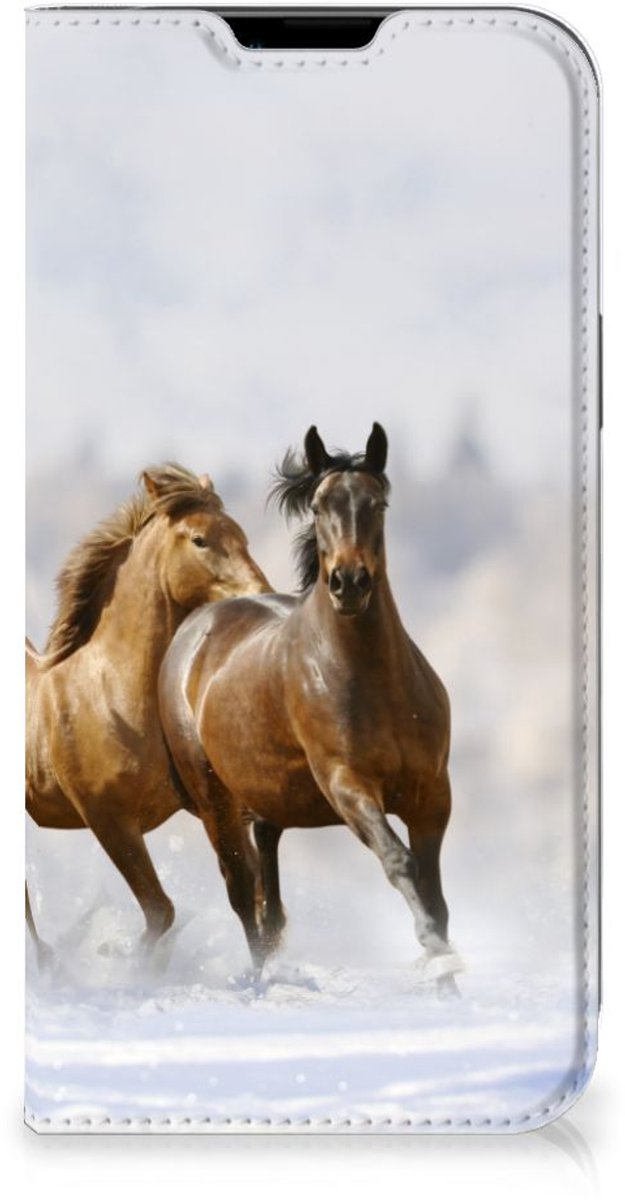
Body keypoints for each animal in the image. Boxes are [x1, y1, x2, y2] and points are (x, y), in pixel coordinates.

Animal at [26, 464, 270, 962]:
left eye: (241, 535)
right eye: (200, 539)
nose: (261, 594)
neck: (111, 695)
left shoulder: (215, 806)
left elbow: (248, 894)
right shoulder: (109, 820)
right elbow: (161, 912)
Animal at [159, 425, 461, 992]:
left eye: (378, 502)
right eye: (320, 506)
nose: (349, 582)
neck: (374, 682)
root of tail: (195, 628)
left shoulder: (432, 793)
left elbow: (434, 892)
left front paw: (448, 980)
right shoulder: (347, 785)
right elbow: (400, 862)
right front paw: (437, 958)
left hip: (268, 800)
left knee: (268, 892)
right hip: (215, 802)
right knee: (243, 892)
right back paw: (260, 981)